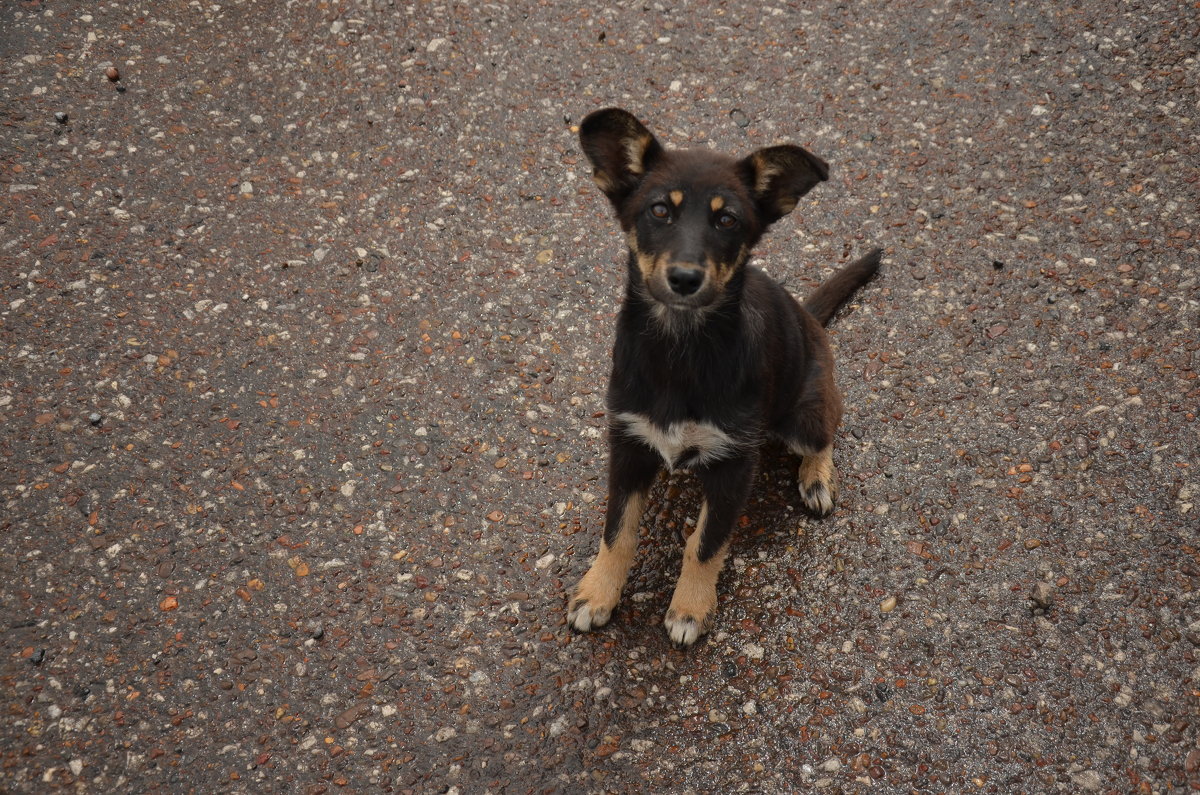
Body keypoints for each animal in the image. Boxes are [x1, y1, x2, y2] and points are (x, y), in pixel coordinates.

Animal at [566, 109, 878, 653]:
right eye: (659, 211)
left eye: (727, 220)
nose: (685, 279)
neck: (680, 347)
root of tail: (811, 321)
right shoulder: (627, 443)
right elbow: (617, 530)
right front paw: (598, 592)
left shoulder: (735, 462)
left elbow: (706, 543)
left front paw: (690, 607)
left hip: (804, 414)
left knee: (826, 435)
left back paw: (816, 477)